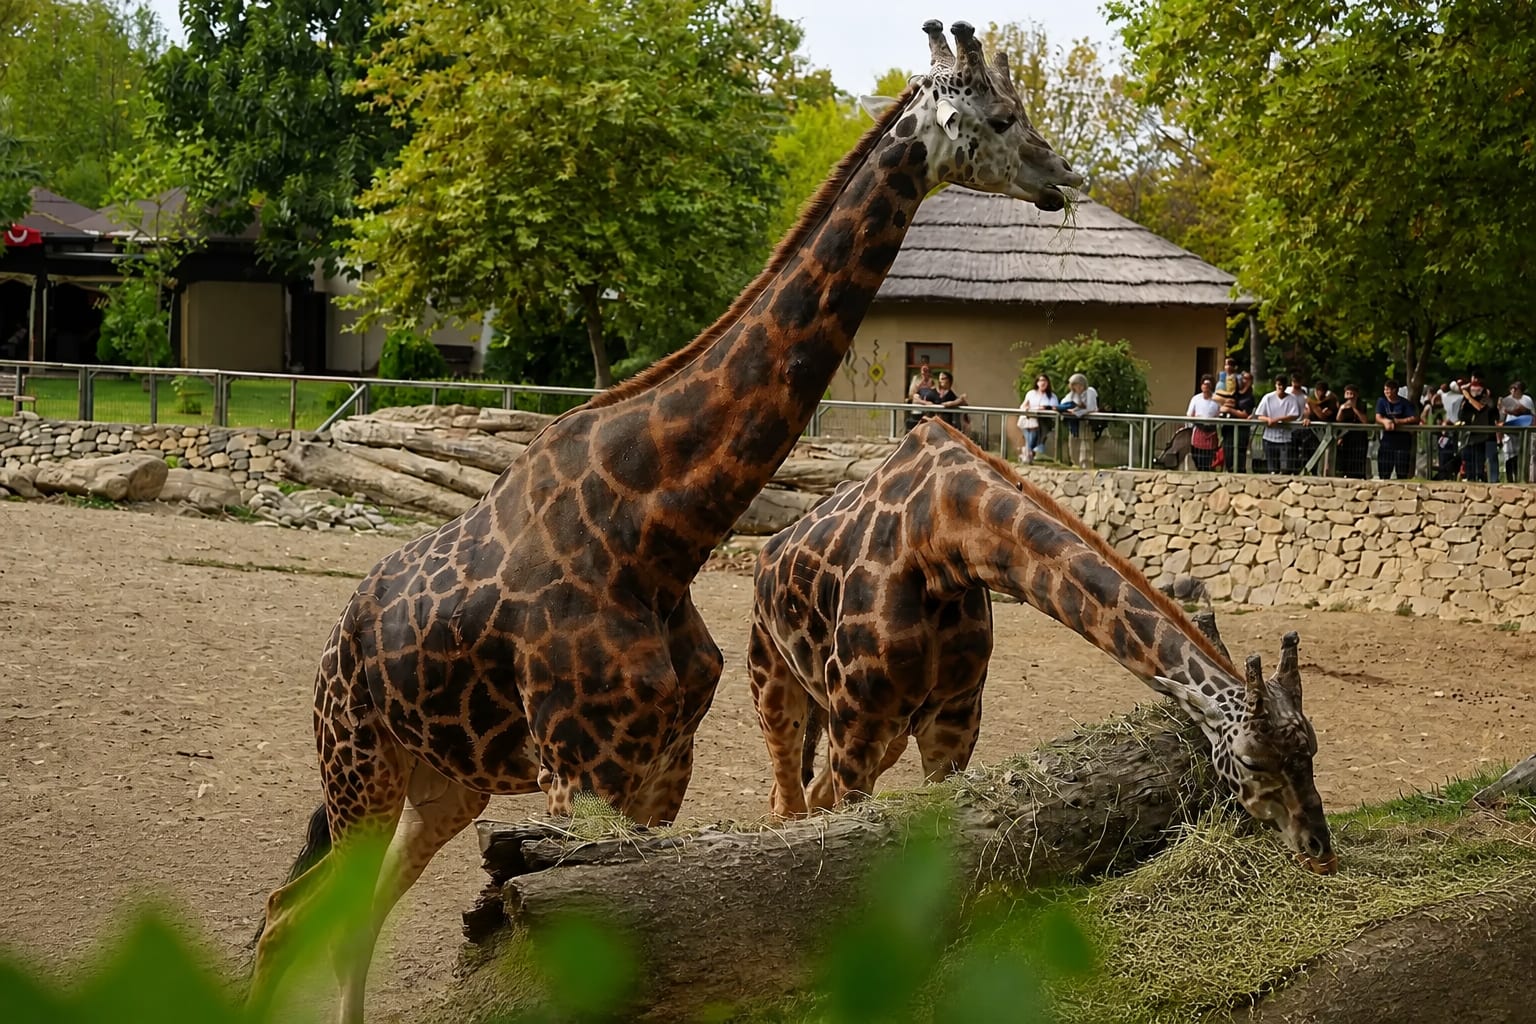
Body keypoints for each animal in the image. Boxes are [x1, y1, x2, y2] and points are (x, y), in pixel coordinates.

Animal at [249, 21, 1085, 1023]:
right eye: (1000, 117)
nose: (1067, 178)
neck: (658, 532)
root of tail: (340, 640)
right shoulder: (579, 772)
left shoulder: (659, 767)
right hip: (359, 764)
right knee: (293, 918)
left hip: (443, 781)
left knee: (329, 911)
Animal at [748, 418, 1336, 873]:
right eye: (1253, 760)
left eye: (1311, 750)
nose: (1320, 851)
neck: (940, 540)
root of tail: (770, 546)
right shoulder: (860, 726)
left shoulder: (952, 722)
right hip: (779, 683)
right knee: (787, 797)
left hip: (879, 727)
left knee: (812, 796)